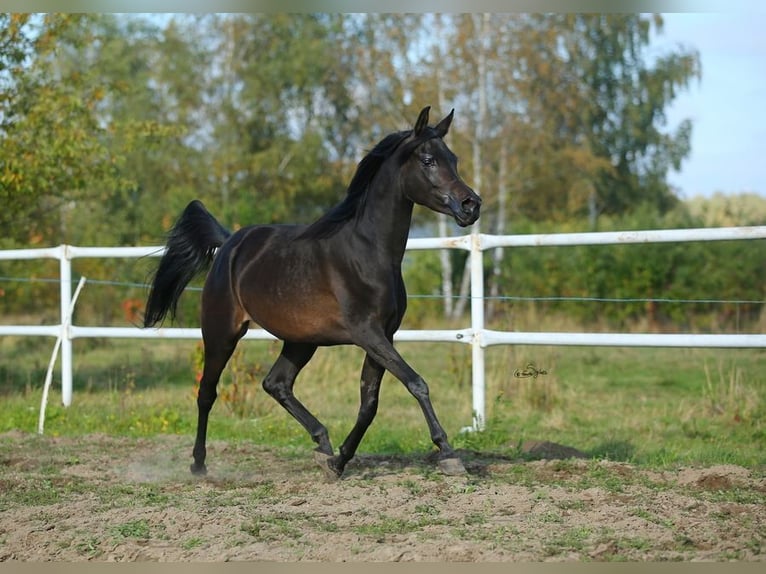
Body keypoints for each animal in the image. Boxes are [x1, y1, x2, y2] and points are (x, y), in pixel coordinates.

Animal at [143, 106, 481, 480]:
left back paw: (322, 444)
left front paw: (339, 461)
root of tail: (229, 243)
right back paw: (199, 464)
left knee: (276, 383)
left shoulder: (384, 335)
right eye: (428, 160)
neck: (367, 253)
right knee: (207, 392)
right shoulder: (367, 333)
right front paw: (449, 454)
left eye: (454, 158)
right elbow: (416, 383)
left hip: (301, 341)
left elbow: (369, 403)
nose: (471, 205)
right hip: (221, 332)